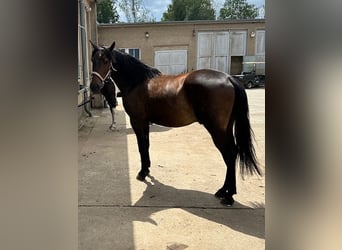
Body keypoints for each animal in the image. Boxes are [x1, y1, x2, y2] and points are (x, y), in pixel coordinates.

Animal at [89, 41, 260, 205]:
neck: (136, 82)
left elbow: (141, 147)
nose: (94, 87)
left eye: (106, 61)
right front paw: (147, 170)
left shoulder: (137, 121)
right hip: (226, 128)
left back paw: (228, 196)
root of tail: (229, 78)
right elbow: (146, 146)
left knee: (229, 155)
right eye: (93, 60)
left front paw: (142, 173)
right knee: (233, 154)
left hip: (217, 130)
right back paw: (224, 191)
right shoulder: (145, 122)